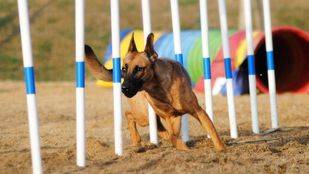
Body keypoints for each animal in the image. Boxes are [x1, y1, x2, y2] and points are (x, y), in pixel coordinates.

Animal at [84, 33, 224, 152]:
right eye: (124, 68)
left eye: (139, 69)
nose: (124, 88)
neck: (161, 89)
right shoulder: (171, 117)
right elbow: (173, 137)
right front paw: (184, 149)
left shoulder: (197, 111)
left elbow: (212, 131)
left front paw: (221, 150)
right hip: (144, 115)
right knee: (129, 114)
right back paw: (137, 140)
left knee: (156, 127)